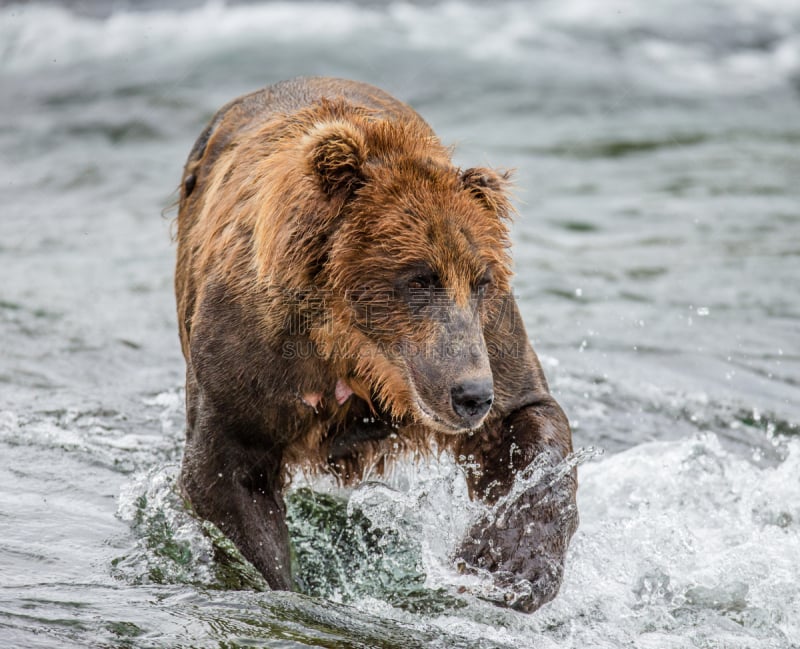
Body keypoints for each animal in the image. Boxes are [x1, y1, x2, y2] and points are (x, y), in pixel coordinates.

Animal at [173, 77, 576, 612]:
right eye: (420, 278)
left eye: (481, 280)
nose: (470, 395)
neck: (352, 353)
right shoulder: (250, 352)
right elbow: (228, 472)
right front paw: (279, 586)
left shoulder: (488, 335)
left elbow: (527, 417)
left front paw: (507, 562)